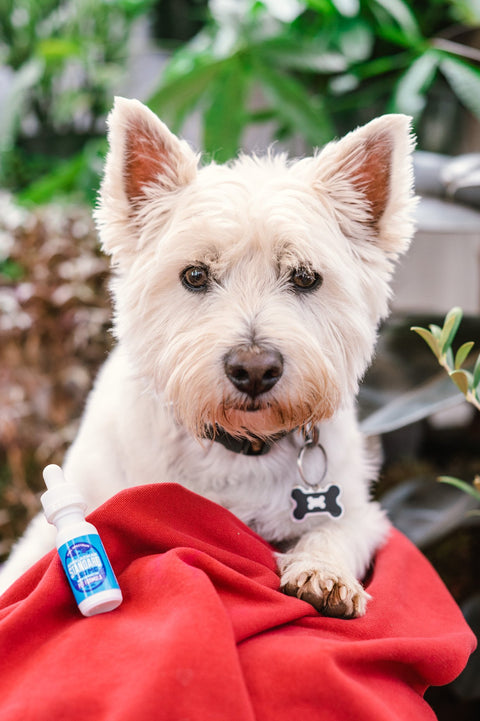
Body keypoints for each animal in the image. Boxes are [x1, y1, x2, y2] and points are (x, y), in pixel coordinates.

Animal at [0, 94, 416, 612]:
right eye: (195, 275)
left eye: (305, 277)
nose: (255, 370)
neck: (241, 445)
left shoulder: (363, 512)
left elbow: (336, 530)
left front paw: (324, 574)